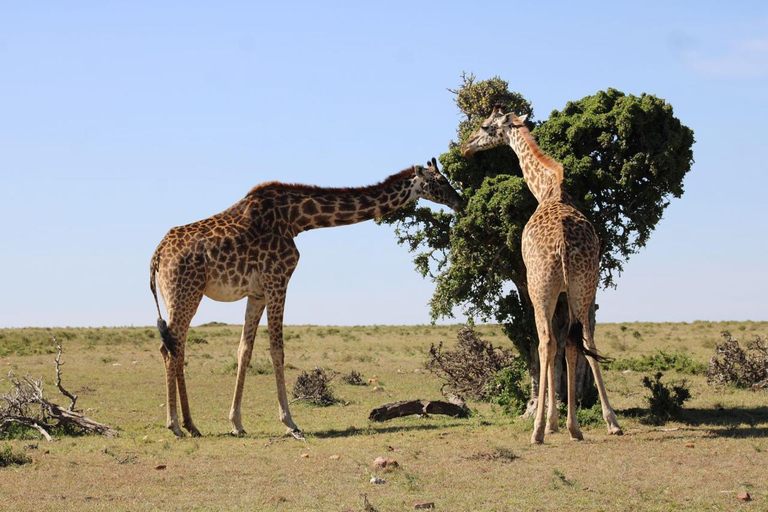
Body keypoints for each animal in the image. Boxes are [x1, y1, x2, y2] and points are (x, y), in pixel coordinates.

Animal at [150, 158, 462, 438]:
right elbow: (277, 350)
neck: (298, 220)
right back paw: (175, 425)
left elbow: (244, 351)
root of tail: (156, 256)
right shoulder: (278, 280)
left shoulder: (257, 292)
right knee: (170, 348)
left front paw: (237, 423)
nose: (459, 201)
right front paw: (290, 422)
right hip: (185, 292)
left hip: (182, 295)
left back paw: (192, 425)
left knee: (177, 348)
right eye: (439, 181)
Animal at [460, 108, 620, 444]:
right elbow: (570, 346)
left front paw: (550, 423)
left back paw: (537, 431)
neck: (547, 189)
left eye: (485, 126)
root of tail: (563, 244)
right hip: (584, 285)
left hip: (540, 288)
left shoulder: (543, 288)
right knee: (584, 339)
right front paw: (566, 423)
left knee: (546, 341)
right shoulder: (568, 291)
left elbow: (550, 345)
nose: (466, 146)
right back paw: (606, 422)